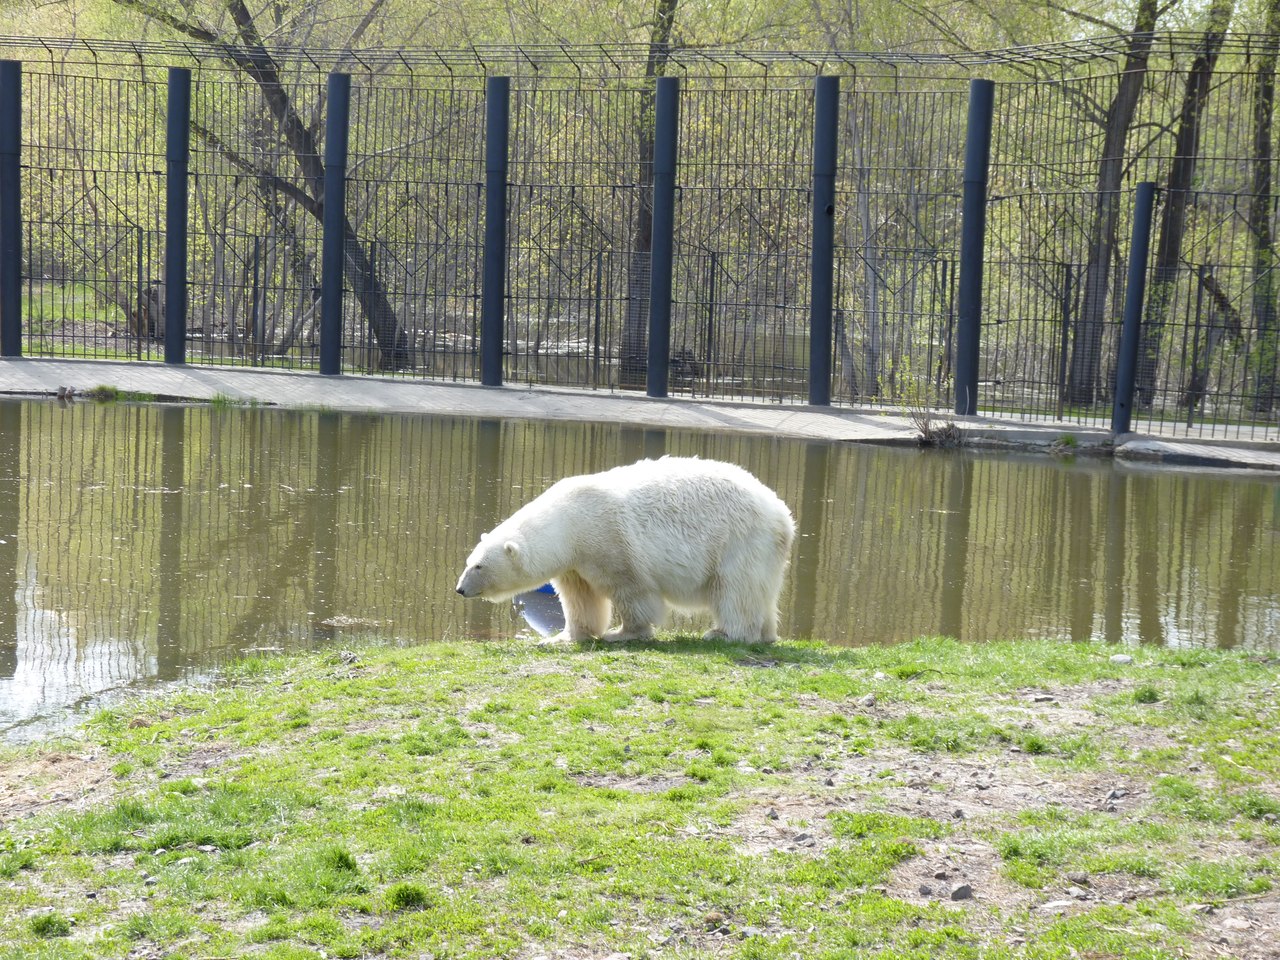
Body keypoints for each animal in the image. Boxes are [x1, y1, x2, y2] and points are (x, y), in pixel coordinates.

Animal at [455, 458, 793, 647]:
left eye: (479, 567)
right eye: (469, 561)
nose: (459, 589)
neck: (569, 522)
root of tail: (783, 516)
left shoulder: (608, 541)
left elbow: (632, 592)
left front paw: (622, 633)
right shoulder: (575, 562)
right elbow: (581, 598)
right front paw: (561, 638)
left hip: (740, 540)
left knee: (735, 590)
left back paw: (724, 634)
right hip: (763, 553)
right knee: (759, 594)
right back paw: (766, 634)